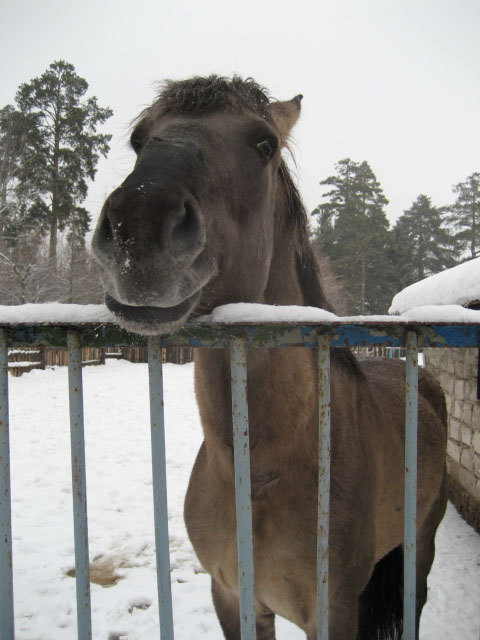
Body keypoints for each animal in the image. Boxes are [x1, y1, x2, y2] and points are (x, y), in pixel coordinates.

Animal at [92, 76, 448, 640]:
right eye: (139, 139)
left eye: (264, 144)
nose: (138, 226)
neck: (259, 476)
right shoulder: (234, 598)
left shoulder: (334, 611)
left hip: (422, 545)